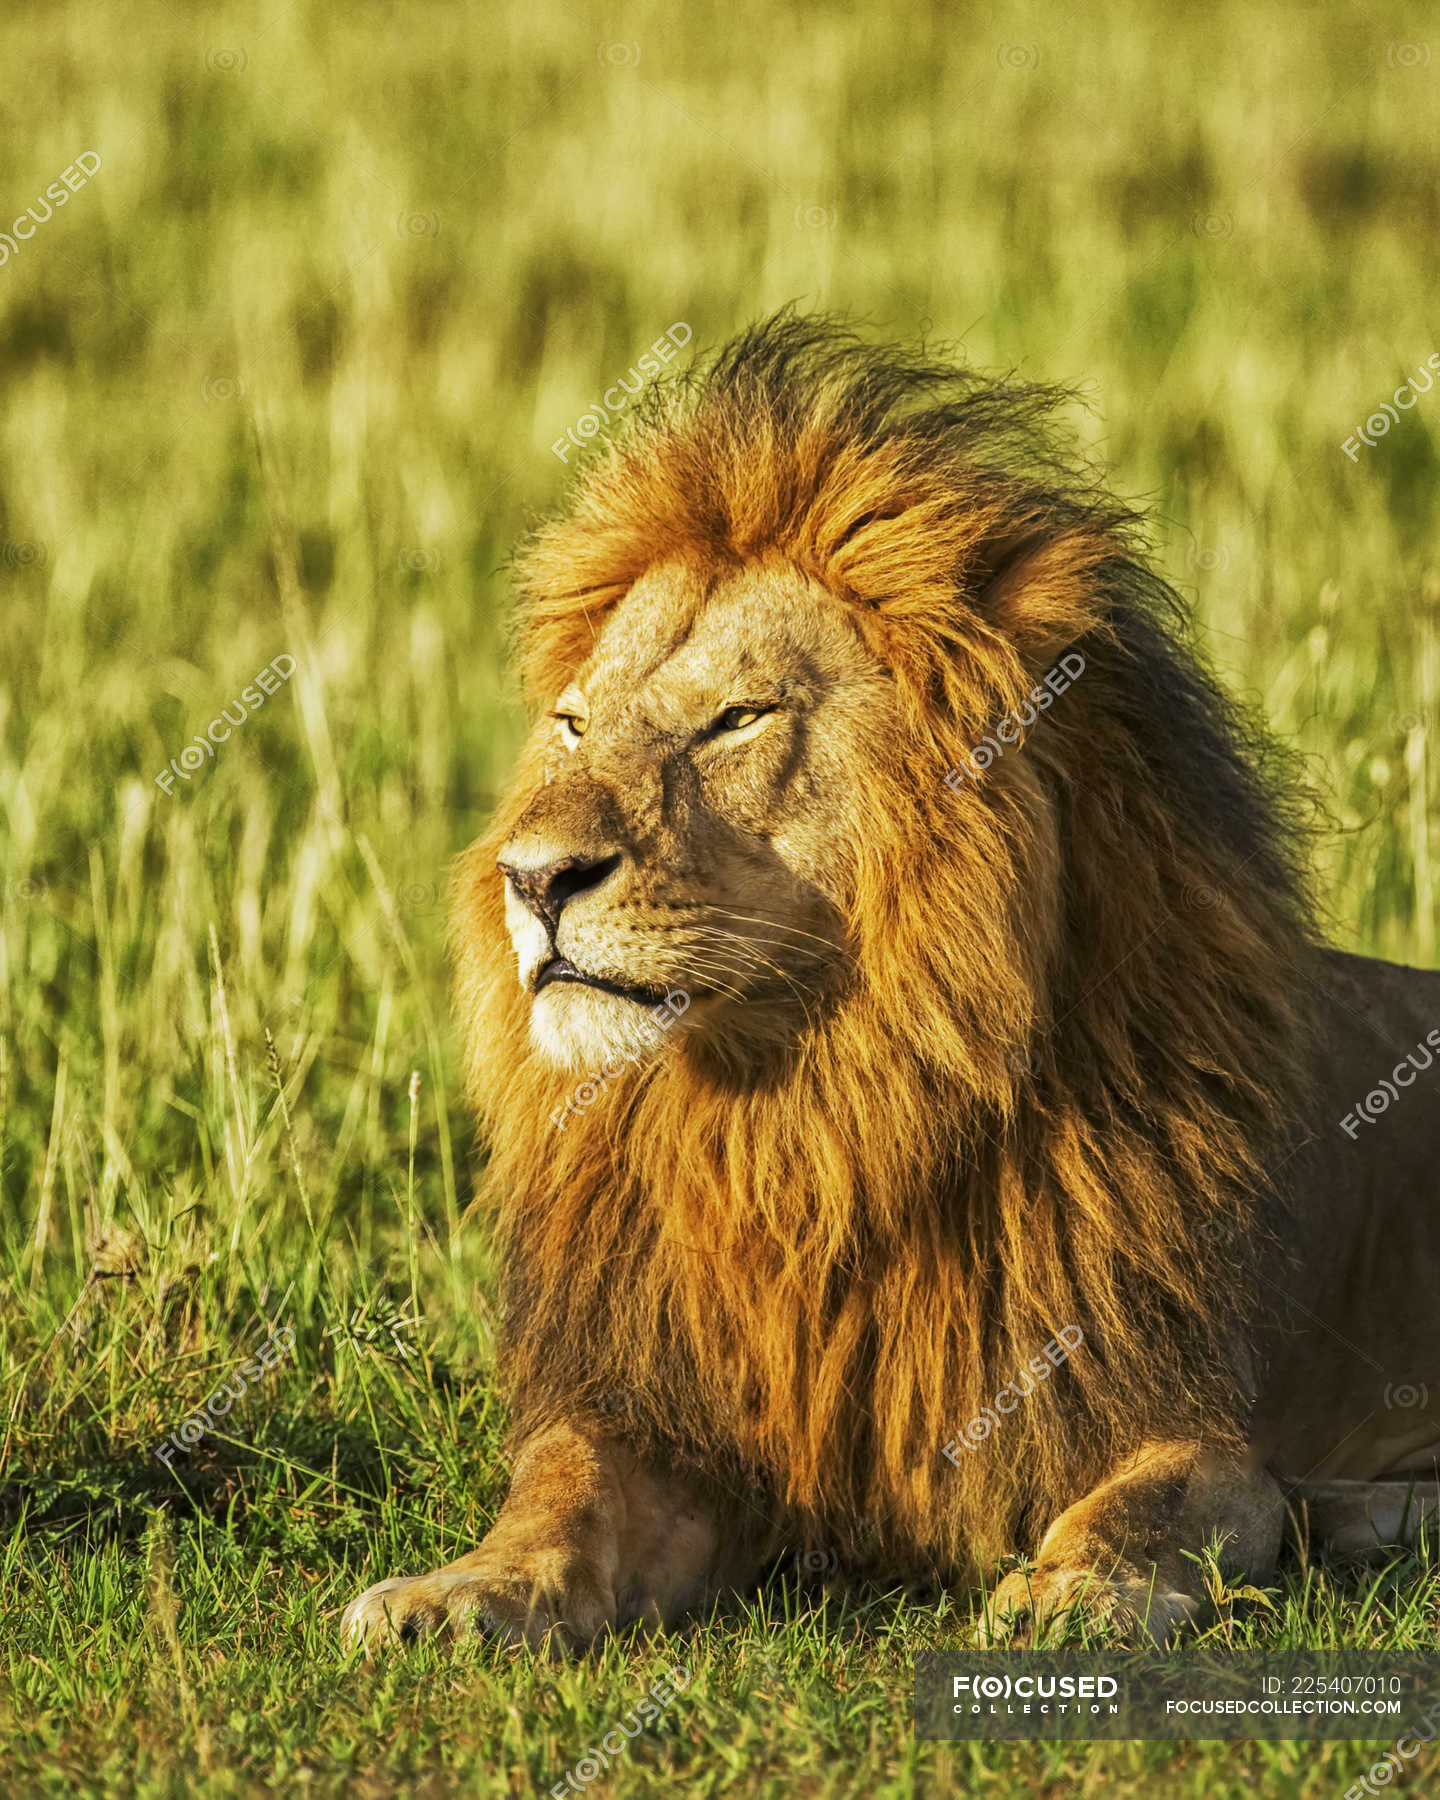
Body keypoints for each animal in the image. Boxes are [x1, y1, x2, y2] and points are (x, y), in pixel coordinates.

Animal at [340, 309, 1440, 1648]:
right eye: (573, 727)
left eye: (737, 719)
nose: (535, 878)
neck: (814, 1116)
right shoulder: (660, 1417)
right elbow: (559, 1493)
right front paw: (454, 1593)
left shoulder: (1177, 1403)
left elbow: (1164, 1499)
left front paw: (1071, 1591)